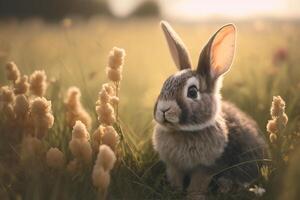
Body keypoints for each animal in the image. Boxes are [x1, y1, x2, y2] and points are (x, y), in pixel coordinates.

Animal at [152, 21, 270, 199]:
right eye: (164, 85)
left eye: (192, 92)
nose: (164, 110)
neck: (184, 131)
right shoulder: (173, 167)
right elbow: (176, 179)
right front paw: (175, 191)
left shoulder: (206, 168)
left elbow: (198, 183)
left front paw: (194, 196)